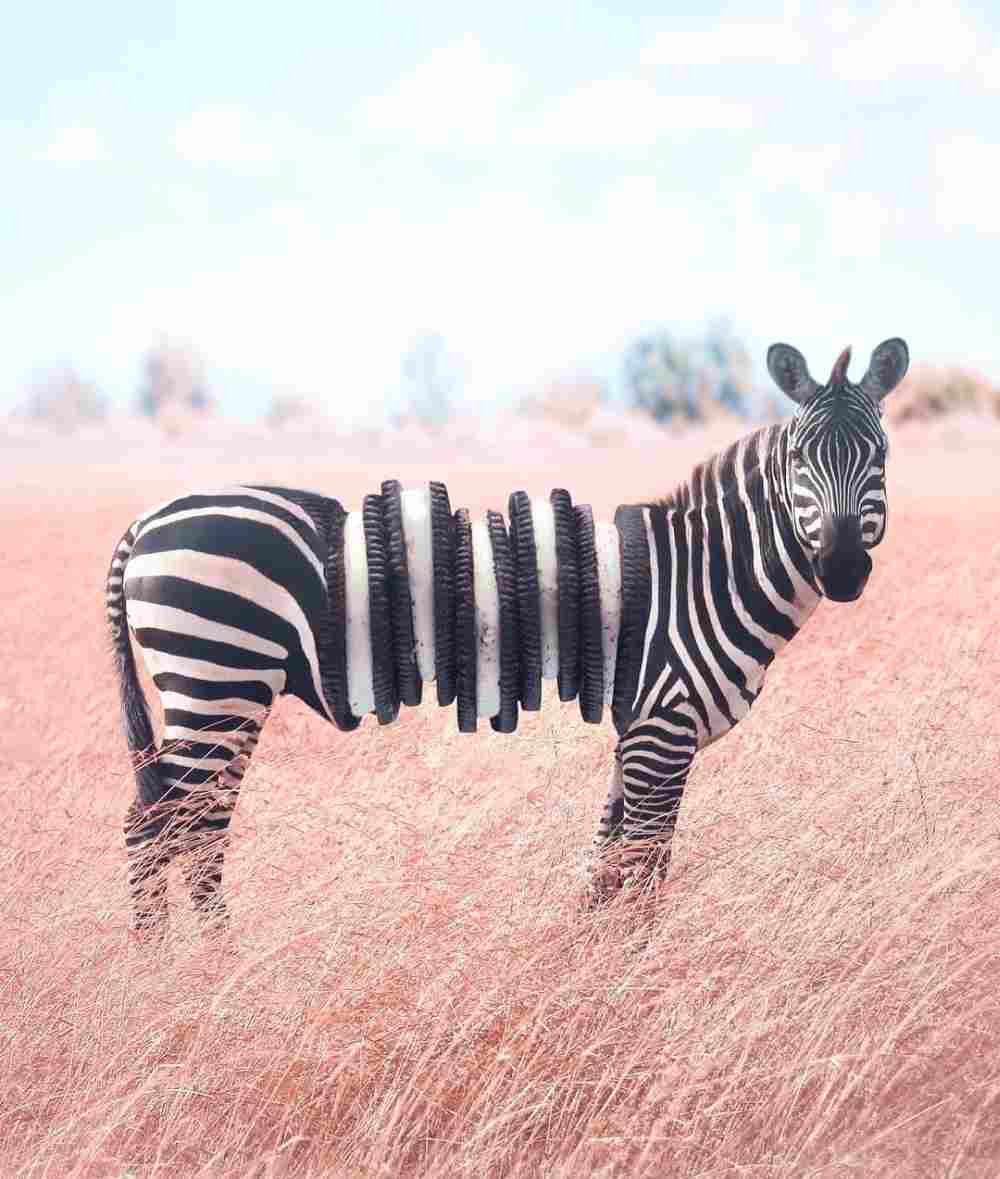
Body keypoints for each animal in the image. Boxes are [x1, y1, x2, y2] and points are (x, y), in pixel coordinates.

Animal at [107, 337, 908, 936]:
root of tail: (146, 518)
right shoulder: (663, 727)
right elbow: (646, 868)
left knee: (170, 824)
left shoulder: (636, 729)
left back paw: (170, 969)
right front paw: (641, 975)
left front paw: (586, 964)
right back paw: (204, 974)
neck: (701, 574)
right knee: (177, 829)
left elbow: (605, 861)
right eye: (799, 461)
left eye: (881, 458)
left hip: (220, 688)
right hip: (221, 678)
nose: (842, 570)